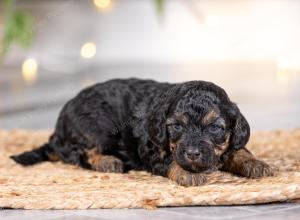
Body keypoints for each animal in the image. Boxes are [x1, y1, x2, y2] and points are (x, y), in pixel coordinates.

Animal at [11, 78, 274, 186]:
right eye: (176, 126)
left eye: (215, 127)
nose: (192, 153)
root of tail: (57, 132)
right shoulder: (153, 149)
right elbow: (171, 160)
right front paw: (187, 174)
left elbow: (239, 149)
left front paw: (257, 164)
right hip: (95, 129)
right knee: (81, 153)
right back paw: (108, 161)